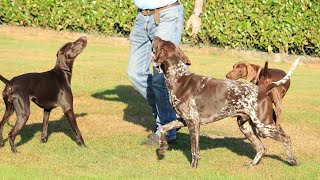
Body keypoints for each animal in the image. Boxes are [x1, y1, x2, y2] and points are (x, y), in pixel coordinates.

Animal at [151, 37, 298, 168]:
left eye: (160, 41)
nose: (154, 36)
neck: (179, 77)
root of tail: (263, 89)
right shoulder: (182, 119)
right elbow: (163, 128)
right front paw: (163, 146)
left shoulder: (193, 122)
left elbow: (194, 150)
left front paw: (193, 167)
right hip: (246, 126)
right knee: (261, 148)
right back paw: (252, 165)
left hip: (264, 126)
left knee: (286, 138)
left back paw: (292, 161)